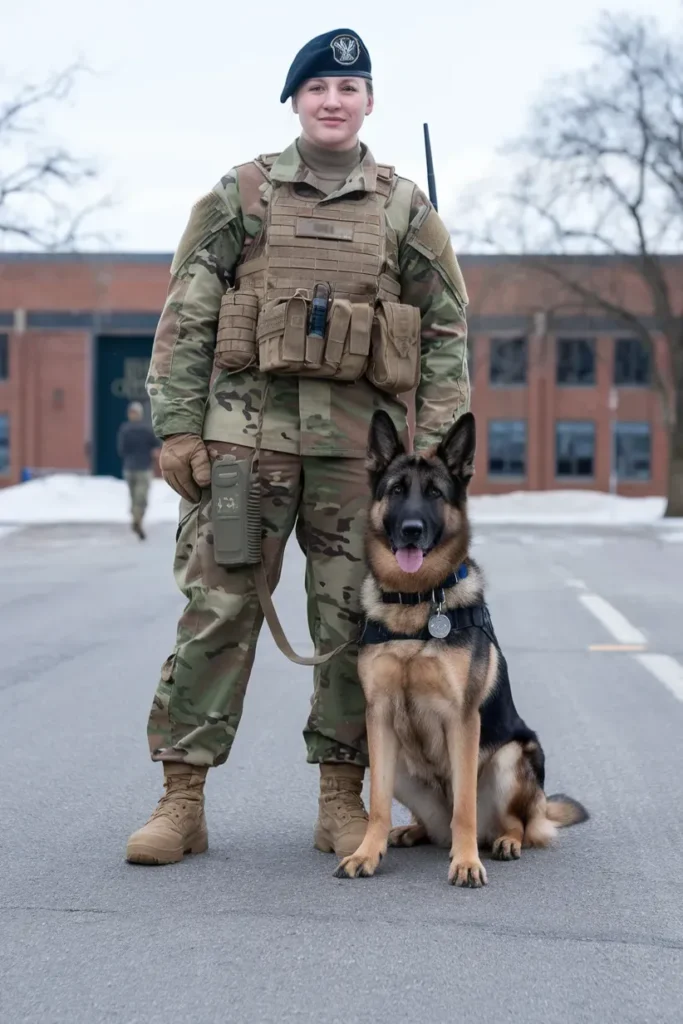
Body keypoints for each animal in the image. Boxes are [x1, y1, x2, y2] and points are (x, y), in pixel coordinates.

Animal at [335, 409, 589, 888]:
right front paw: (366, 853)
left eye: (435, 494)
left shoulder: (463, 718)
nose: (412, 530)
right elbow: (376, 804)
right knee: (434, 825)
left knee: (514, 823)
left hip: (513, 756)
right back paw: (411, 831)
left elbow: (466, 808)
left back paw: (504, 842)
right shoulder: (379, 717)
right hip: (397, 763)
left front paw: (467, 862)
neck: (416, 602)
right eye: (397, 491)